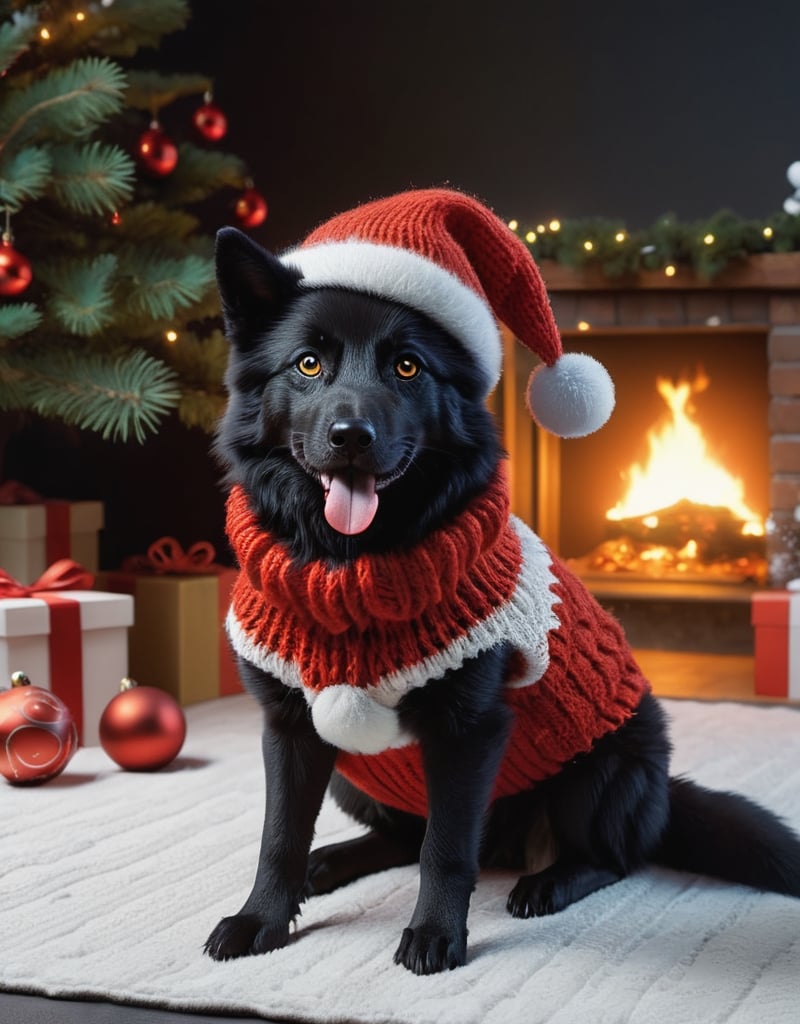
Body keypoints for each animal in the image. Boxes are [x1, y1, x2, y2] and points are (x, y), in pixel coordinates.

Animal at [204, 220, 798, 970]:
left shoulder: (469, 731)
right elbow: (279, 837)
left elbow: (447, 849)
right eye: (308, 364)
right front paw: (261, 919)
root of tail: (663, 796)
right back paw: (330, 861)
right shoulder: (289, 728)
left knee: (612, 858)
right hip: (352, 774)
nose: (351, 438)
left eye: (408, 368)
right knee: (398, 837)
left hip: (602, 766)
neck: (351, 567)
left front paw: (436, 934)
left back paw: (549, 882)